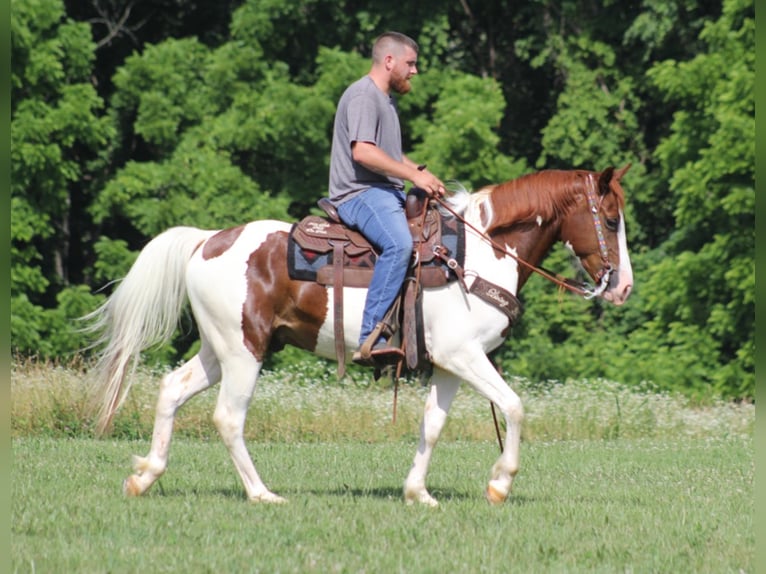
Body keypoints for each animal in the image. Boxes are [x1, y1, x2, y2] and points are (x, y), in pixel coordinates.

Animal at [85, 164, 636, 506]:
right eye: (611, 219)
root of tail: (207, 240)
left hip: (221, 349)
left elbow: (432, 426)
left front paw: (418, 493)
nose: (623, 287)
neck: (478, 257)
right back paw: (262, 493)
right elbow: (516, 406)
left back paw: (145, 476)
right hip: (244, 353)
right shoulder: (464, 356)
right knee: (228, 417)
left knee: (171, 390)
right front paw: (500, 484)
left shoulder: (450, 365)